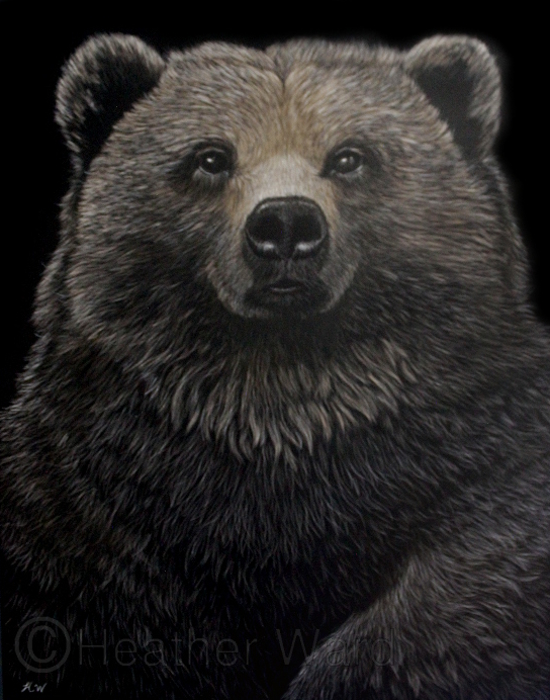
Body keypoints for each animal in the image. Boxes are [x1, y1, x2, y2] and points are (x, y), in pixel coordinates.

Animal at [1, 31, 550, 700]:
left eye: (349, 157)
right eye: (211, 157)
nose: (285, 223)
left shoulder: (482, 461)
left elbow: (466, 595)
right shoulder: (85, 505)